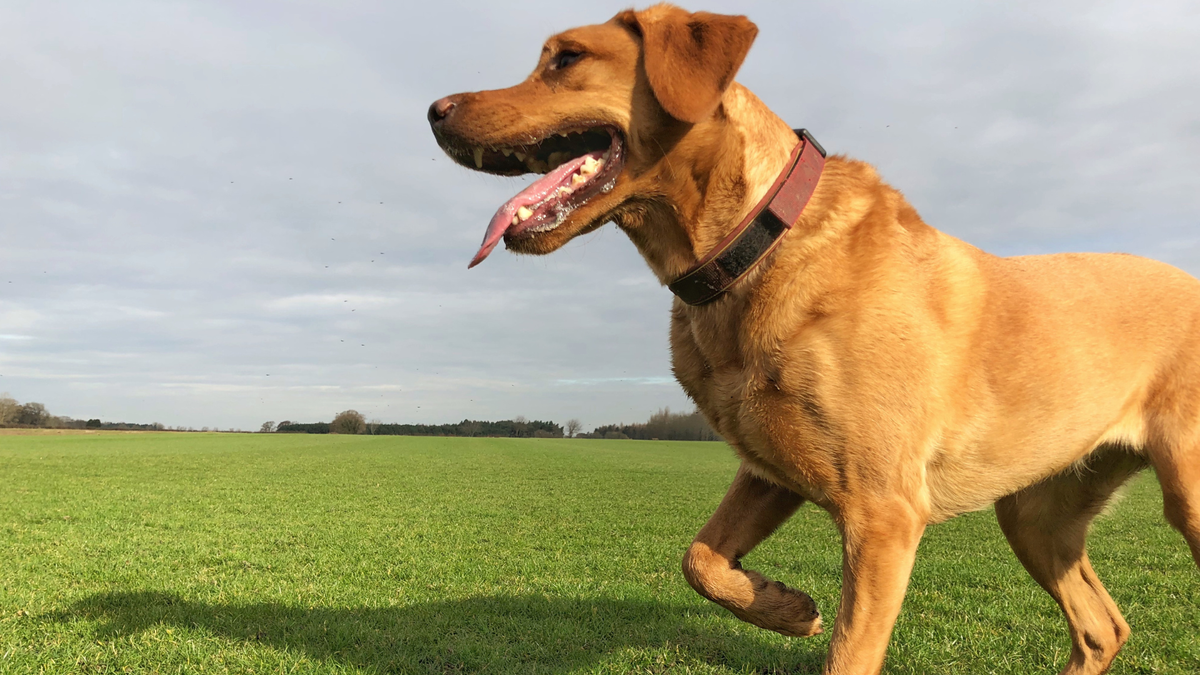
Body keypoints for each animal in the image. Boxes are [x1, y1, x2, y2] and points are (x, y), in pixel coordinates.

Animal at [432, 6, 1200, 672]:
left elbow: (848, 653)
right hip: (1037, 512)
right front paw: (786, 606)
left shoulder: (883, 513)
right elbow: (699, 559)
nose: (434, 110)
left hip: (1184, 491)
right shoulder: (771, 469)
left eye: (566, 58)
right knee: (1102, 626)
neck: (753, 249)